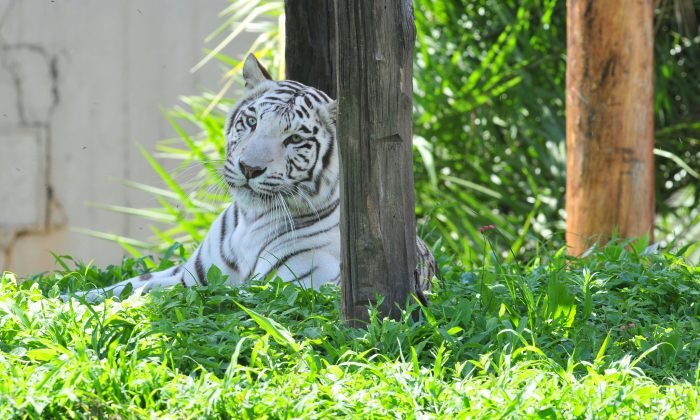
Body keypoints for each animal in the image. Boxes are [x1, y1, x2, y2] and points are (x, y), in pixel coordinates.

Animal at [68, 55, 434, 306]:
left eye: (295, 139)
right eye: (253, 121)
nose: (249, 168)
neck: (250, 221)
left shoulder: (286, 286)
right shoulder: (190, 276)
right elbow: (130, 285)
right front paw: (70, 299)